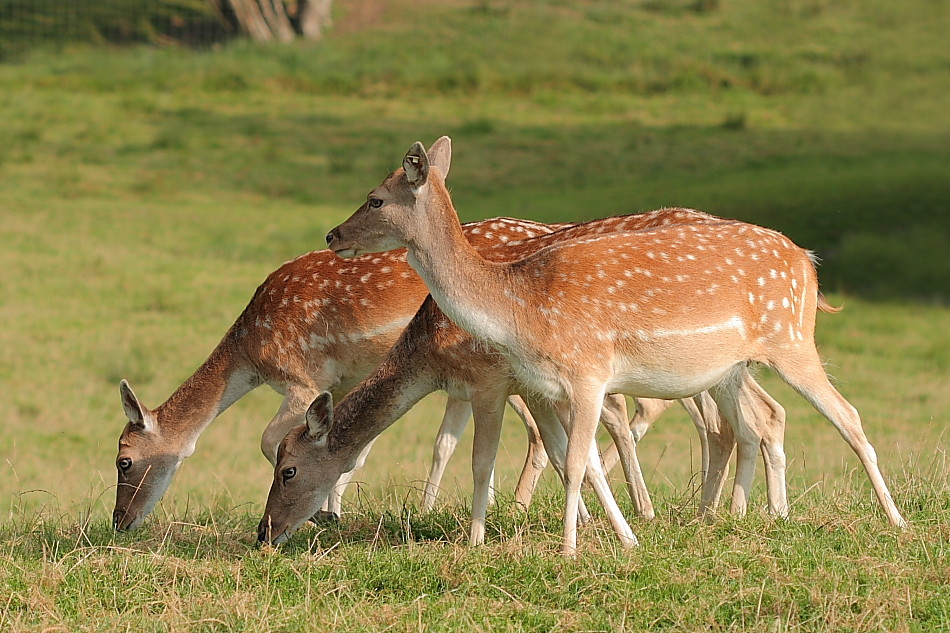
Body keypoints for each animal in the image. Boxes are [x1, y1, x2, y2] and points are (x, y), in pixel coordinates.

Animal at [112, 215, 564, 532]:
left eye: (124, 461)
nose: (119, 521)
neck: (252, 351)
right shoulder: (341, 381)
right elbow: (351, 449)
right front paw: (333, 512)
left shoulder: (301, 376)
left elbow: (270, 439)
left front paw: (319, 515)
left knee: (537, 431)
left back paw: (518, 509)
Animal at [322, 135, 908, 552]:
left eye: (375, 198)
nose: (332, 234)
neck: (519, 307)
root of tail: (809, 264)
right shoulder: (549, 386)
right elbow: (575, 460)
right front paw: (615, 538)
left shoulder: (588, 372)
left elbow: (575, 461)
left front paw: (569, 549)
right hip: (735, 365)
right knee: (758, 422)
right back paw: (744, 517)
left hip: (791, 340)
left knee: (847, 415)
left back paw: (895, 519)